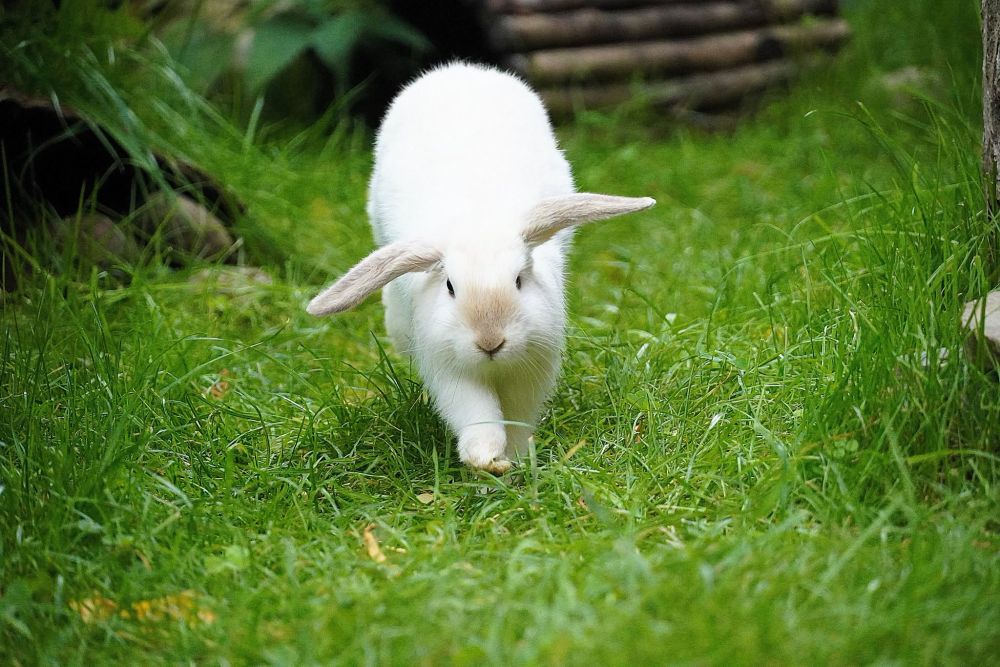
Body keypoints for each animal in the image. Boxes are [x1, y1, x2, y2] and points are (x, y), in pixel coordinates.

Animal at [307, 62, 654, 473]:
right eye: (450, 287)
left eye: (519, 280)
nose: (490, 342)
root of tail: (462, 69)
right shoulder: (451, 371)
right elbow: (477, 416)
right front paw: (487, 459)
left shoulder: (532, 368)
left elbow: (519, 417)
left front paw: (517, 461)